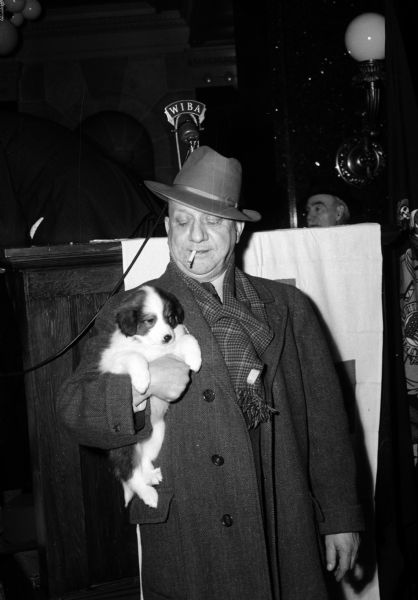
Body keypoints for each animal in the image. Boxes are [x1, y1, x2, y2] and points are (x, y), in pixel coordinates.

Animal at [99, 284, 201, 506]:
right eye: (150, 320)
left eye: (170, 317)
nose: (167, 337)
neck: (151, 346)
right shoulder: (114, 361)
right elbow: (134, 356)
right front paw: (142, 381)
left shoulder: (174, 349)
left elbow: (187, 337)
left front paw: (195, 359)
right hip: (125, 447)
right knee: (131, 476)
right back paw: (148, 494)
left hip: (157, 434)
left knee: (144, 460)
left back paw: (151, 476)